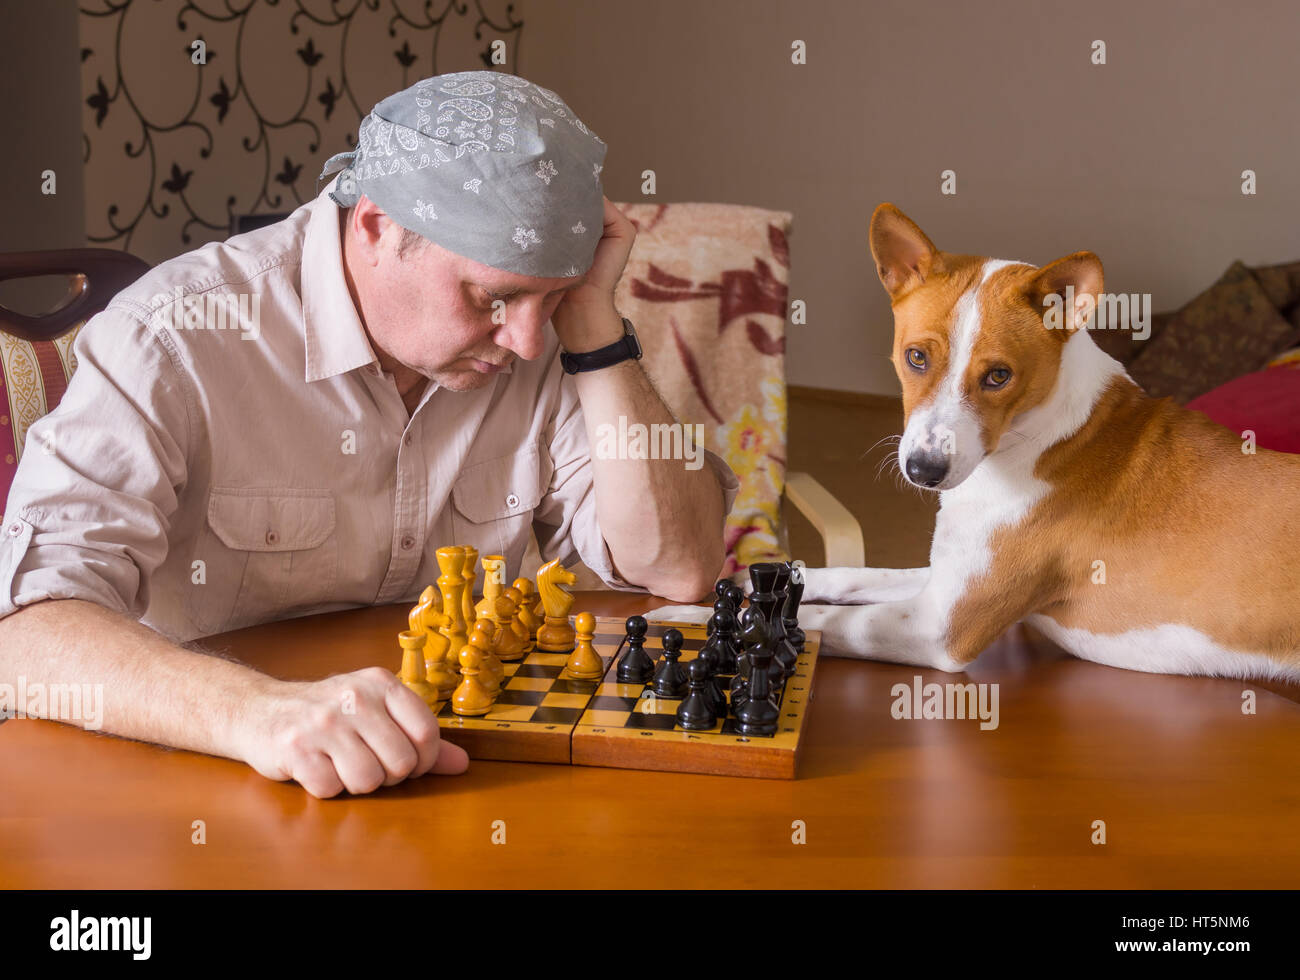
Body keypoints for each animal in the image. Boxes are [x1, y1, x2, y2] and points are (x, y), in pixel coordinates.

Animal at [655, 204, 1300, 681]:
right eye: (916, 357)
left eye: (998, 376)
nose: (924, 470)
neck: (1036, 441)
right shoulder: (941, 577)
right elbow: (847, 576)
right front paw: (743, 583)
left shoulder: (942, 625)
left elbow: (817, 620)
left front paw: (690, 614)